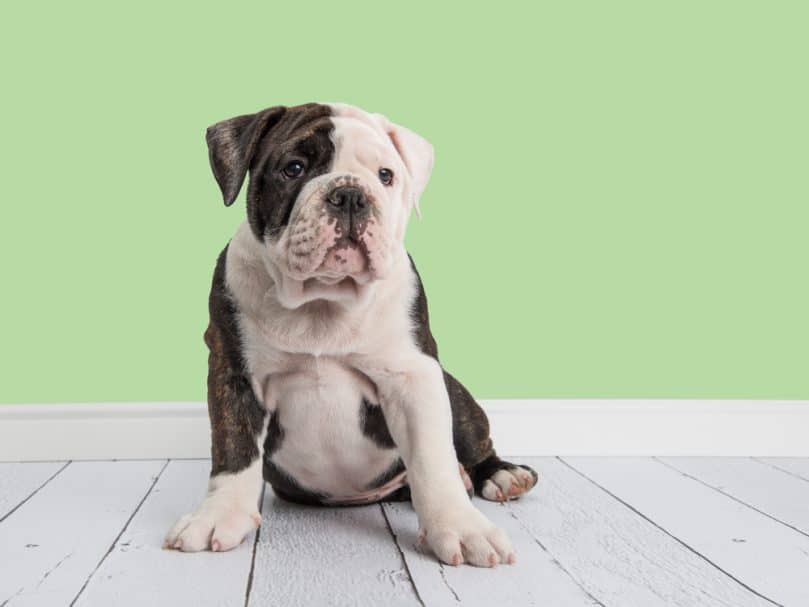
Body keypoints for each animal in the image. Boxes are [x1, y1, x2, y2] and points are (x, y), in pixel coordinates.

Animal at [164, 102, 536, 568]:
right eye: (294, 168)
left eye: (386, 175)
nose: (351, 195)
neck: (323, 299)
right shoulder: (233, 372)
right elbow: (234, 450)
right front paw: (217, 515)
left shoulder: (414, 376)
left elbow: (433, 459)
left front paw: (462, 528)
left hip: (455, 394)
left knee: (470, 444)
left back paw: (500, 475)